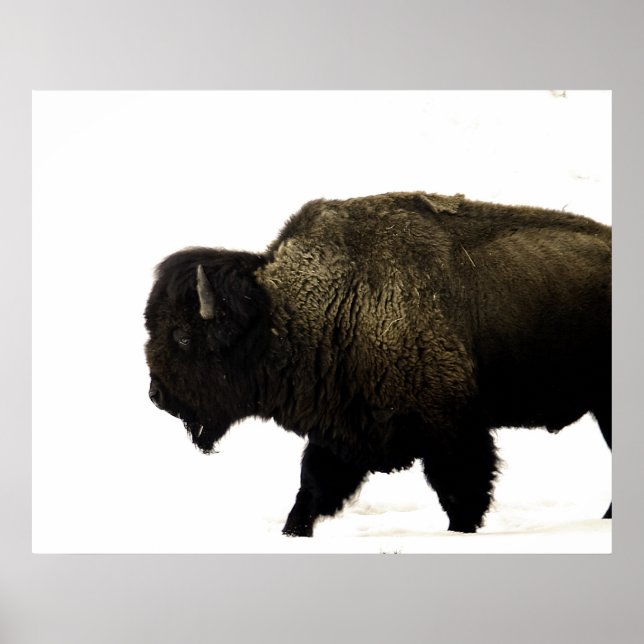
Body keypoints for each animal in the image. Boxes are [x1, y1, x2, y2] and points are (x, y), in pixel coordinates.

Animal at [144, 191, 611, 535]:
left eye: (183, 336)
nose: (156, 395)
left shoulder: (453, 430)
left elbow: (461, 492)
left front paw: (460, 534)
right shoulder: (338, 431)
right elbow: (312, 489)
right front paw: (293, 532)